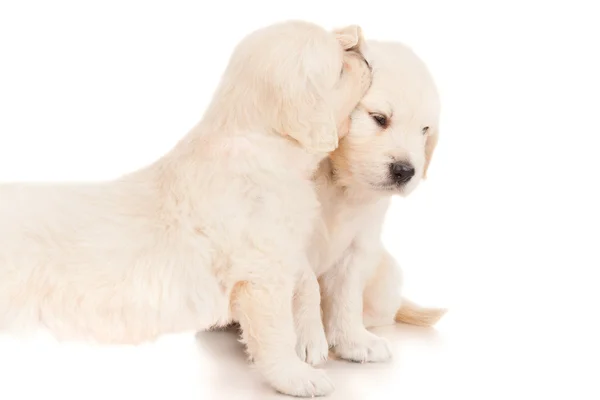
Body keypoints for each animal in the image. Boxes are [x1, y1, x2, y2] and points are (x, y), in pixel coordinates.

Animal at [0, 20, 370, 396]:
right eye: (340, 70)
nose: (364, 56)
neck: (263, 144)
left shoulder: (284, 248)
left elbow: (307, 280)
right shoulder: (262, 274)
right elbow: (276, 332)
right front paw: (298, 377)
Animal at [310, 39, 446, 362]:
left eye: (425, 130)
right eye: (379, 119)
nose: (405, 171)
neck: (338, 179)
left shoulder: (359, 245)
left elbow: (346, 295)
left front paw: (352, 341)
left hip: (388, 274)